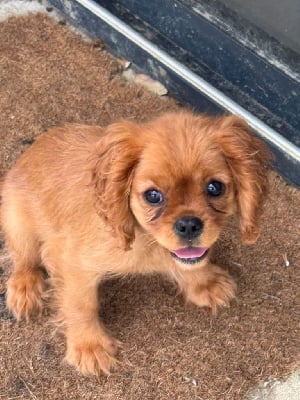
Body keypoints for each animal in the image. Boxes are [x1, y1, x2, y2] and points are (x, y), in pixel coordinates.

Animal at [0, 111, 270, 376]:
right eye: (153, 196)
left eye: (215, 187)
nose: (189, 225)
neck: (146, 240)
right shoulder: (71, 261)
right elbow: (81, 304)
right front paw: (89, 345)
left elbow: (190, 264)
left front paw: (205, 282)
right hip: (18, 222)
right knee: (24, 259)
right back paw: (25, 288)